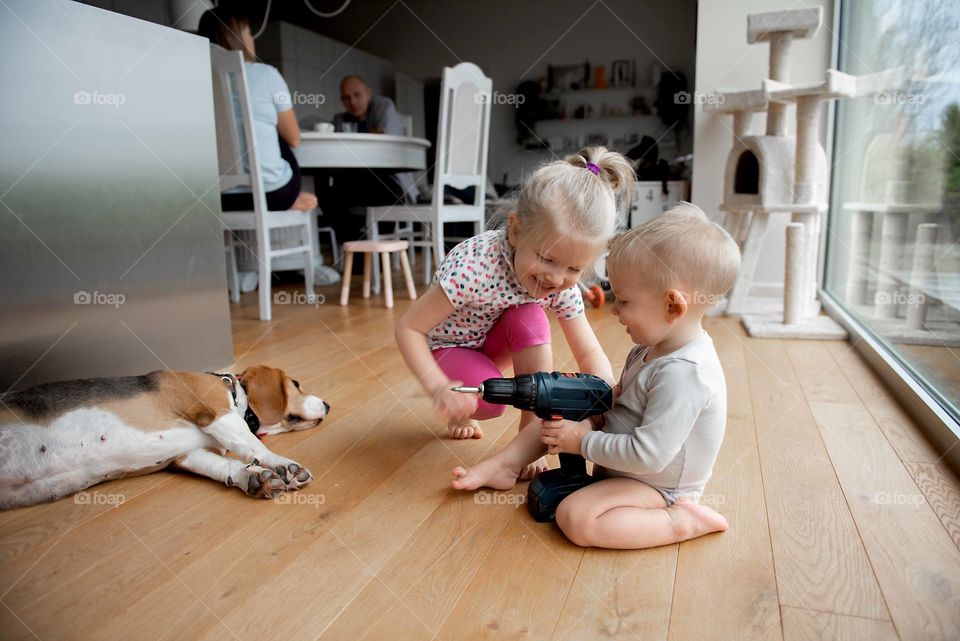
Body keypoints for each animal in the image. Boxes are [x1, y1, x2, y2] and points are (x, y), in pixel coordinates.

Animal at [0, 364, 330, 510]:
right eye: (296, 384)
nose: (328, 405)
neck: (237, 396)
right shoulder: (216, 413)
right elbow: (252, 444)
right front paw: (284, 466)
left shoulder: (187, 456)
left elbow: (224, 465)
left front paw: (252, 478)